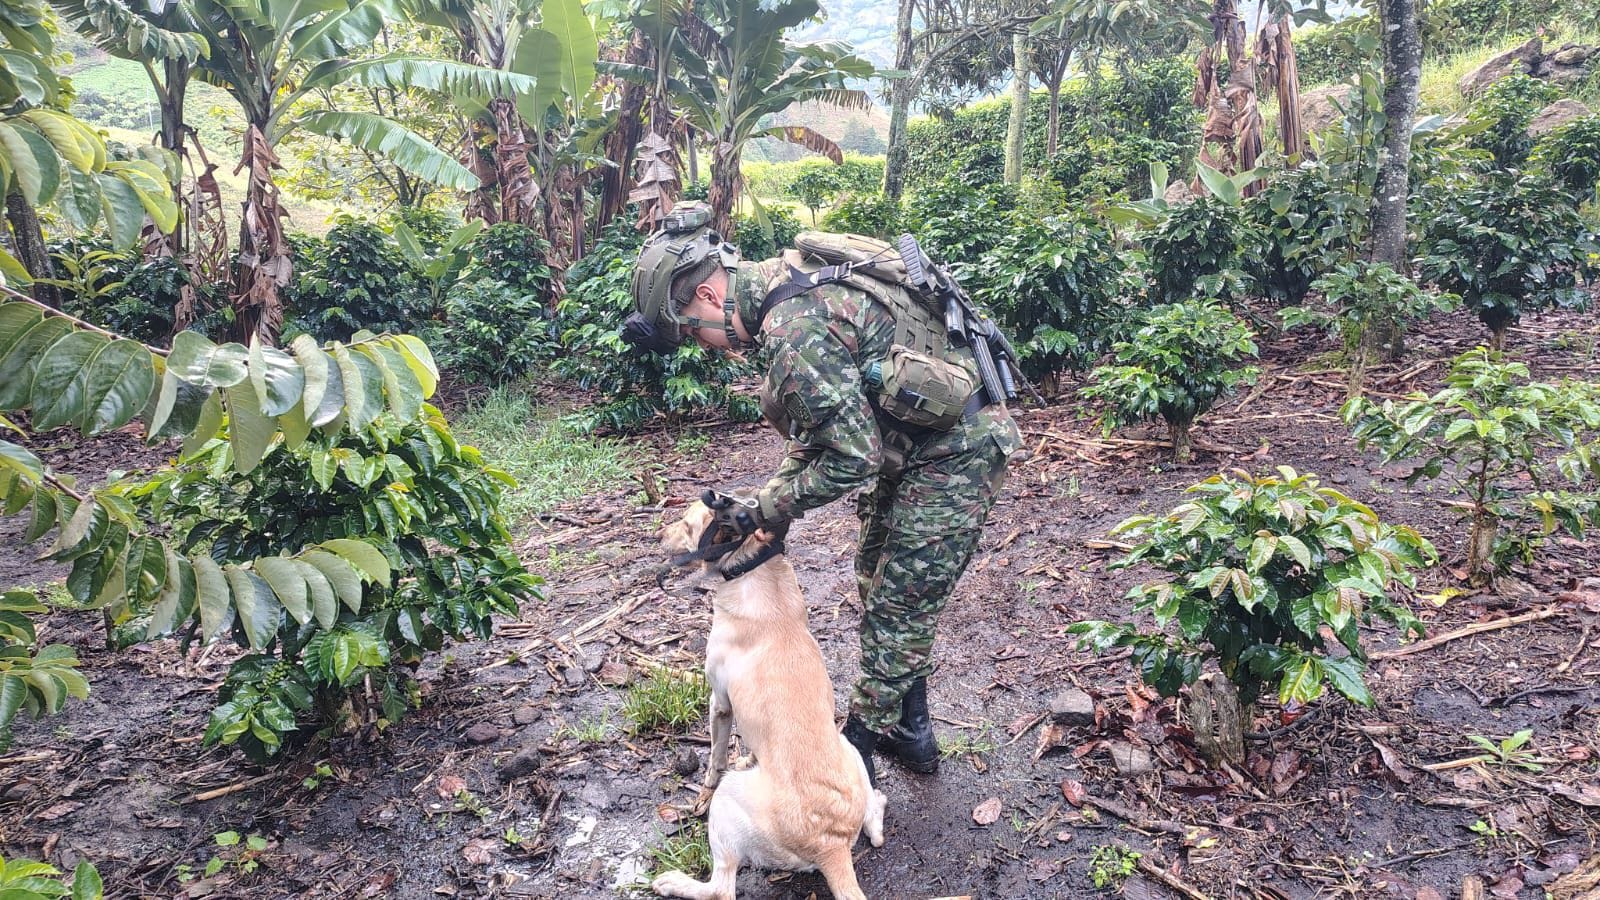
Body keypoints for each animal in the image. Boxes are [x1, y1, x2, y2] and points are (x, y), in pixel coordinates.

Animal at [649, 499, 889, 890]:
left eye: (685, 524)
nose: (657, 535)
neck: (753, 567)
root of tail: (832, 844)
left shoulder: (719, 702)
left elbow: (715, 758)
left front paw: (704, 789)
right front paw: (750, 757)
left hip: (729, 800)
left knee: (720, 888)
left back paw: (673, 882)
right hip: (848, 746)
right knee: (875, 829)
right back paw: (878, 807)